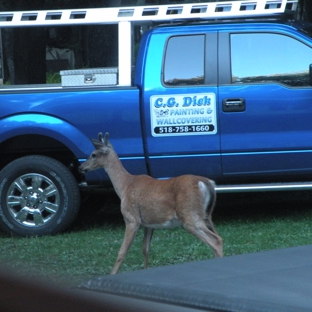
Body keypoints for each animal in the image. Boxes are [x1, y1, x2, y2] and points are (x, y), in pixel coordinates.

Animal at [79, 133, 223, 274]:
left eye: (93, 154)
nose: (81, 167)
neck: (125, 185)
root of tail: (207, 182)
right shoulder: (148, 224)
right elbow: (145, 249)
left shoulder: (131, 218)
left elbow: (122, 252)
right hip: (207, 216)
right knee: (218, 237)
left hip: (189, 214)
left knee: (216, 240)